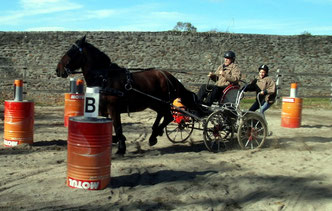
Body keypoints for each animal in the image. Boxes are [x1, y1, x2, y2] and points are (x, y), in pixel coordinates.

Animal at [55, 35, 200, 155]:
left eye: (71, 52)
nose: (58, 70)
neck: (105, 77)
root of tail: (169, 77)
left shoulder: (113, 108)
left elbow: (118, 127)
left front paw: (121, 148)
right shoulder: (103, 109)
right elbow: (110, 128)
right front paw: (116, 140)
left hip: (161, 102)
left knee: (168, 116)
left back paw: (154, 134)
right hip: (154, 103)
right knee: (163, 115)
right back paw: (154, 134)